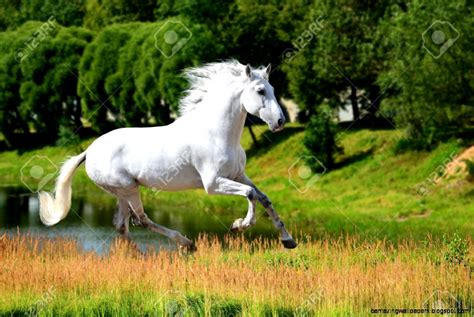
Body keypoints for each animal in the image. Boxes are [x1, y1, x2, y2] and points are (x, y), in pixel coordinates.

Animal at [39, 60, 296, 251]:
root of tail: (89, 151)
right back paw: (186, 244)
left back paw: (140, 258)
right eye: (260, 91)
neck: (217, 133)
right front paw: (239, 225)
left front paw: (288, 240)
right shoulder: (212, 184)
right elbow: (250, 194)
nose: (280, 122)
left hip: (122, 192)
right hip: (127, 189)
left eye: (273, 90)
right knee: (140, 219)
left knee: (122, 225)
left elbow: (263, 198)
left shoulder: (238, 175)